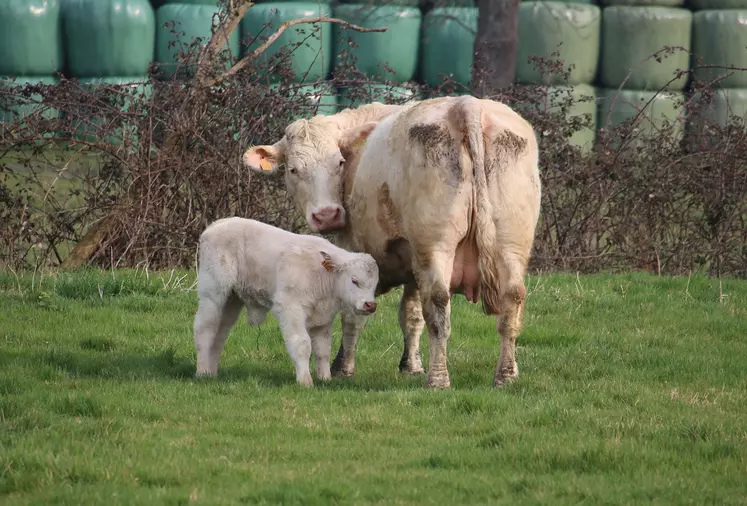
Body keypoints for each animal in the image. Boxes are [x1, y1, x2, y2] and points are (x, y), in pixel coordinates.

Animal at [193, 217, 380, 388]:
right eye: (354, 280)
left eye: (375, 285)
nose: (370, 305)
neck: (323, 275)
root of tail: (216, 225)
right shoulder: (291, 308)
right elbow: (302, 344)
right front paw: (305, 381)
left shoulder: (324, 319)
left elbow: (323, 350)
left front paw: (325, 379)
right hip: (213, 293)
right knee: (205, 328)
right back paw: (202, 372)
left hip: (231, 301)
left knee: (220, 334)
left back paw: (212, 373)